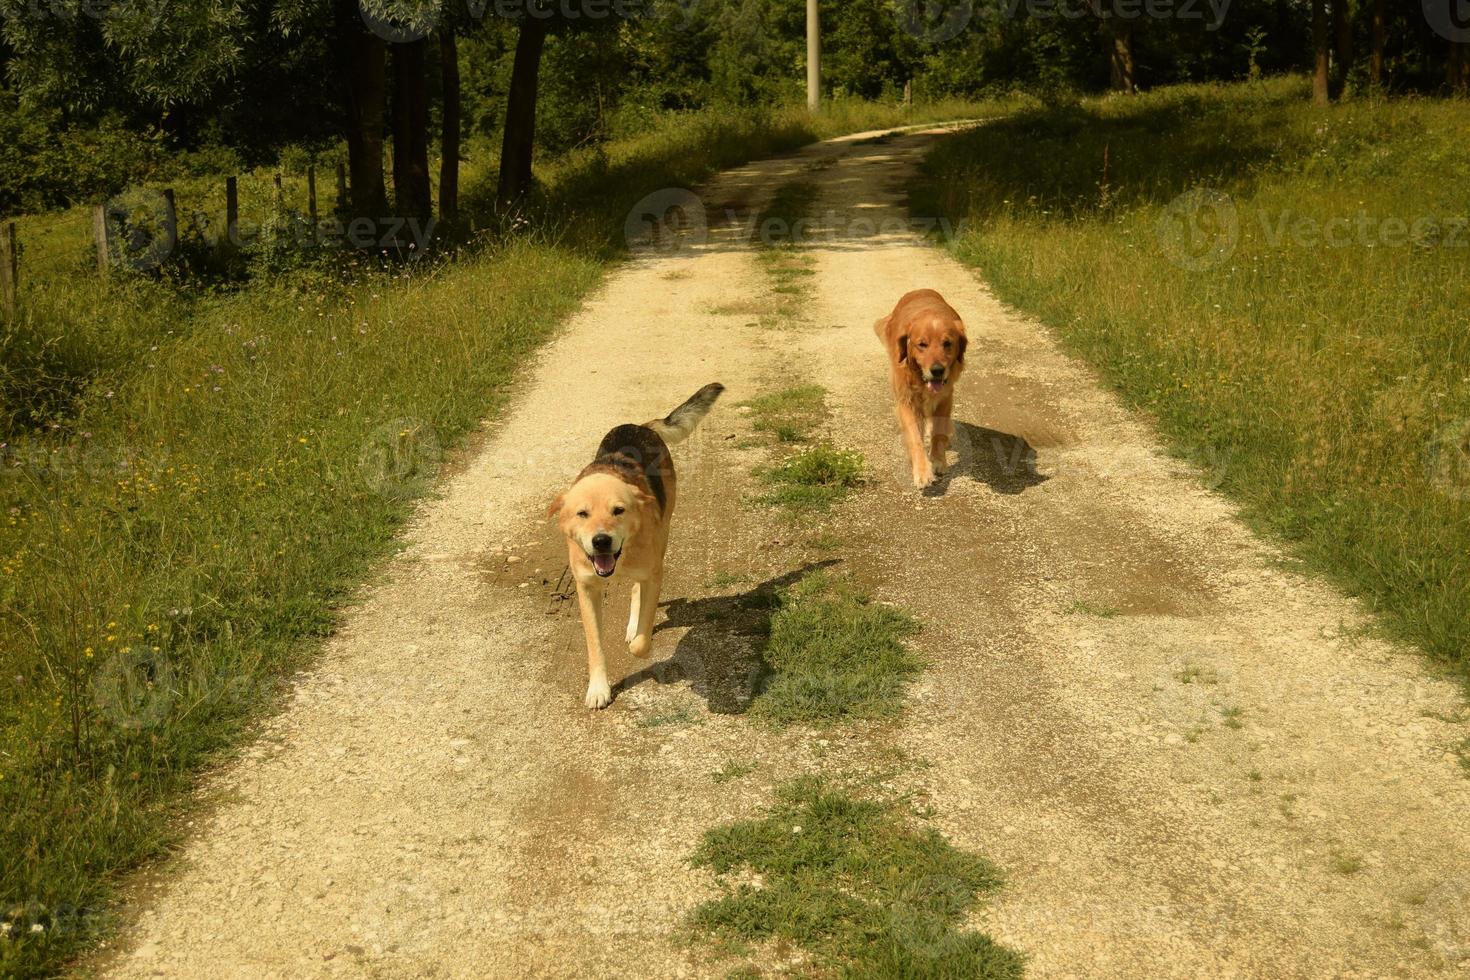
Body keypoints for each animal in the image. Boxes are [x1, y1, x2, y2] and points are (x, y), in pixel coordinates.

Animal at [552, 382, 723, 714]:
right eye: (582, 513)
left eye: (618, 510)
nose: (601, 541)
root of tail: (642, 426)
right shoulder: (586, 588)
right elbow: (595, 644)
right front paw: (598, 689)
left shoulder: (653, 574)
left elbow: (643, 639)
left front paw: (638, 642)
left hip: (664, 534)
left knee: (637, 590)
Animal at [870, 289, 964, 490]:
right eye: (922, 344)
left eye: (947, 343)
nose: (937, 370)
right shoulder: (906, 400)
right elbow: (914, 437)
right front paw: (921, 471)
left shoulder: (946, 397)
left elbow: (938, 431)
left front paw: (938, 460)